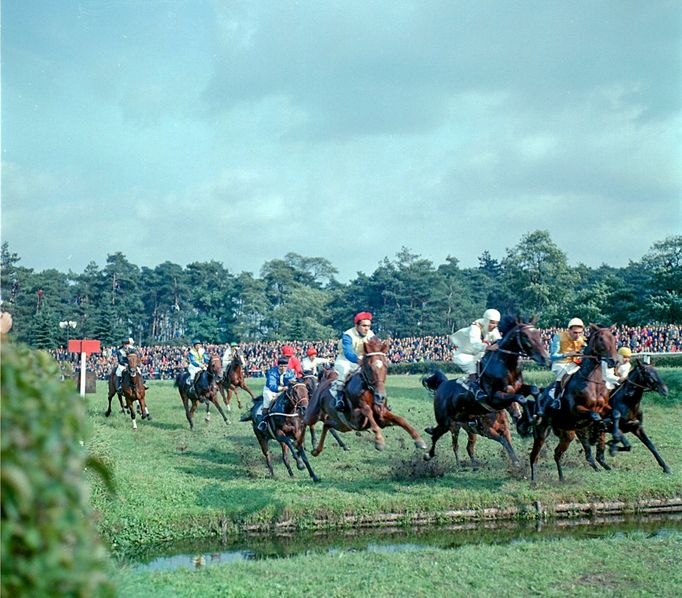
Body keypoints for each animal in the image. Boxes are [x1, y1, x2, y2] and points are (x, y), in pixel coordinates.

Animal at [420, 316, 548, 472]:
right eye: (526, 336)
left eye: (538, 334)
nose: (545, 358)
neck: (504, 366)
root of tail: (442, 385)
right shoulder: (495, 401)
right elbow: (520, 399)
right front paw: (528, 422)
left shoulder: (516, 391)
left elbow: (533, 390)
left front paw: (535, 417)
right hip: (448, 423)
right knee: (440, 437)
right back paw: (429, 455)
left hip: (462, 426)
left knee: (465, 445)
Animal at [528, 324, 620, 482]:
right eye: (601, 339)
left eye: (614, 339)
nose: (613, 361)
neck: (592, 381)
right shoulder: (577, 410)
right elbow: (595, 417)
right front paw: (596, 435)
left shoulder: (604, 408)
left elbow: (613, 413)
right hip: (541, 432)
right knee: (534, 455)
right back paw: (533, 480)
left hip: (567, 434)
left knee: (557, 453)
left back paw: (562, 478)